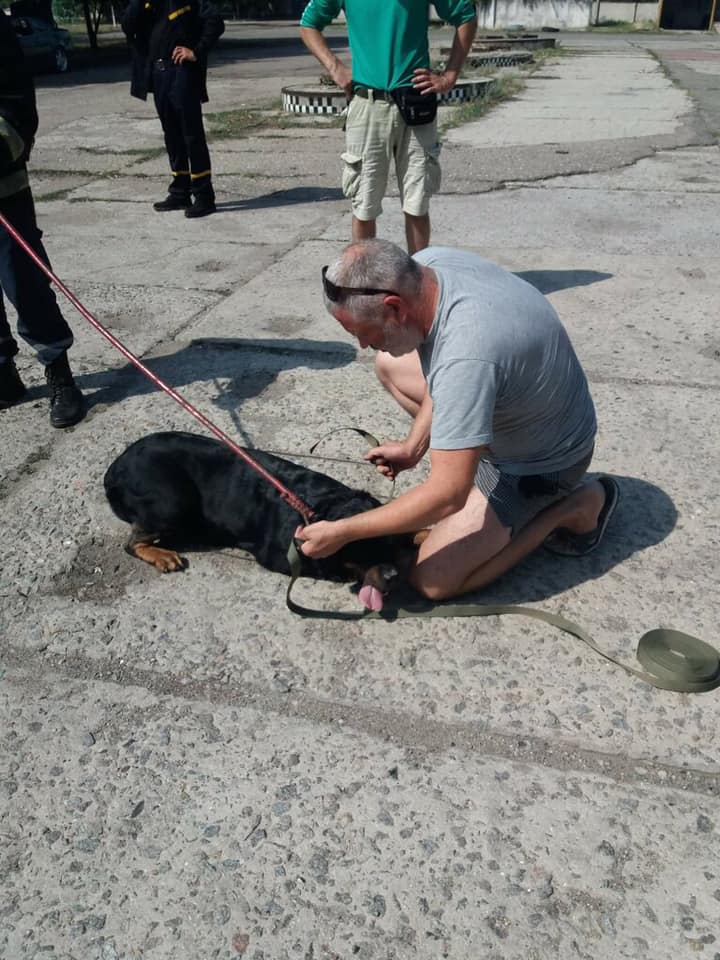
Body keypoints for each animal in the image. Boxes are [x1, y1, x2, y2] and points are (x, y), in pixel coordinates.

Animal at [104, 434, 414, 608]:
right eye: (364, 547)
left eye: (390, 543)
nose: (394, 576)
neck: (315, 508)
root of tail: (115, 467)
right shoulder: (279, 555)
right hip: (173, 500)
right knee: (133, 542)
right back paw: (162, 554)